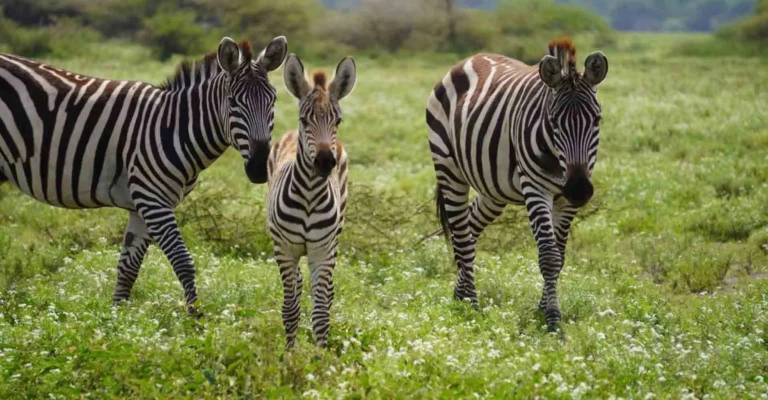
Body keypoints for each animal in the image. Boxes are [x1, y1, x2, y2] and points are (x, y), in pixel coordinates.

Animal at [0, 36, 288, 316]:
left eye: (273, 100)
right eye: (232, 102)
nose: (259, 168)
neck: (174, 127)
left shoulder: (142, 206)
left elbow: (128, 268)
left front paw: (117, 320)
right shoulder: (153, 200)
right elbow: (183, 261)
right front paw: (195, 320)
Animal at [267, 54, 356, 348]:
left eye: (338, 121)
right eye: (304, 120)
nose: (326, 162)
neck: (308, 195)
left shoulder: (322, 251)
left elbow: (320, 314)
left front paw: (319, 356)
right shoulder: (284, 250)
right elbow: (290, 309)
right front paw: (289, 354)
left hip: (335, 238)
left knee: (326, 294)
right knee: (295, 287)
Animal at [426, 38, 609, 332]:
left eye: (596, 120)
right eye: (554, 122)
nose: (579, 190)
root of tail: (470, 58)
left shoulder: (566, 201)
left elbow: (559, 257)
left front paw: (544, 309)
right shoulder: (535, 189)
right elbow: (549, 257)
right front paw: (553, 321)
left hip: (493, 190)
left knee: (468, 228)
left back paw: (460, 296)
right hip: (449, 169)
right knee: (462, 237)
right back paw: (472, 306)